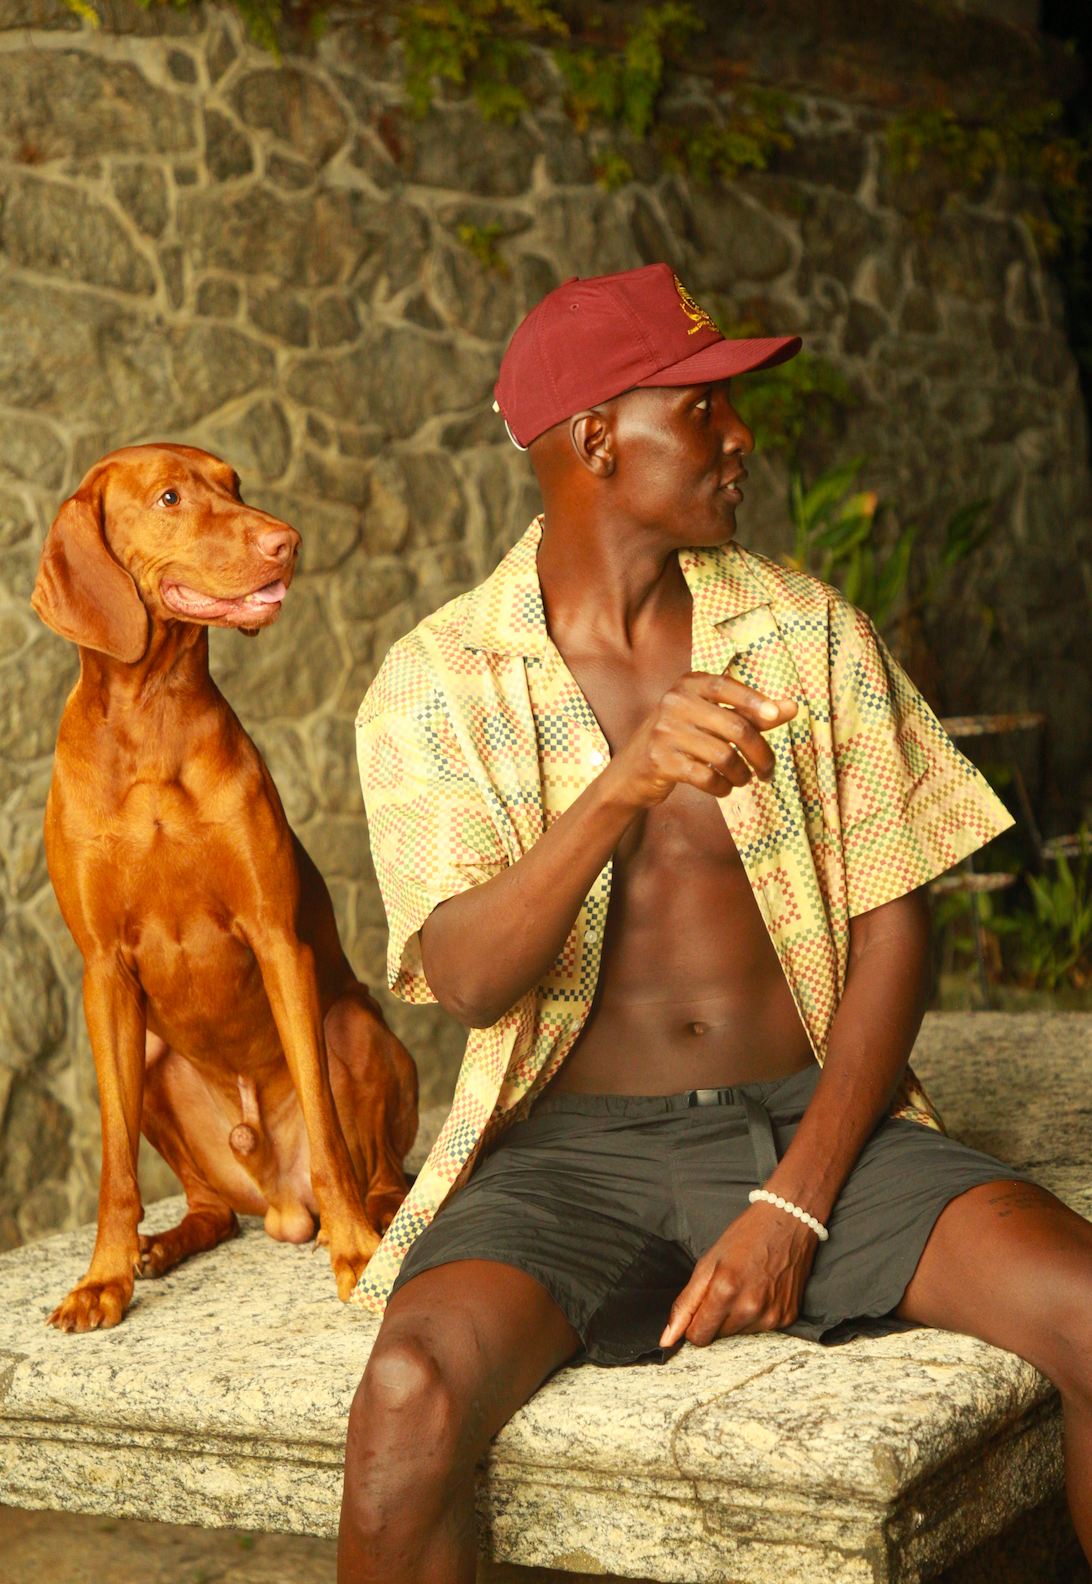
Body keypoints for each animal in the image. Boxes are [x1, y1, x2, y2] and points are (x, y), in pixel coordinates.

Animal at [33, 440, 418, 1330]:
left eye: (235, 485)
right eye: (170, 497)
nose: (287, 541)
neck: (152, 720)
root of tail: (278, 1202)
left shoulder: (278, 940)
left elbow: (325, 1124)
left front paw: (353, 1253)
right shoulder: (102, 971)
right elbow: (112, 1164)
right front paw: (104, 1277)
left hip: (355, 1026)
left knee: (375, 1166)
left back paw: (375, 1223)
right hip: (153, 1058)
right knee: (210, 1206)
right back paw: (167, 1243)